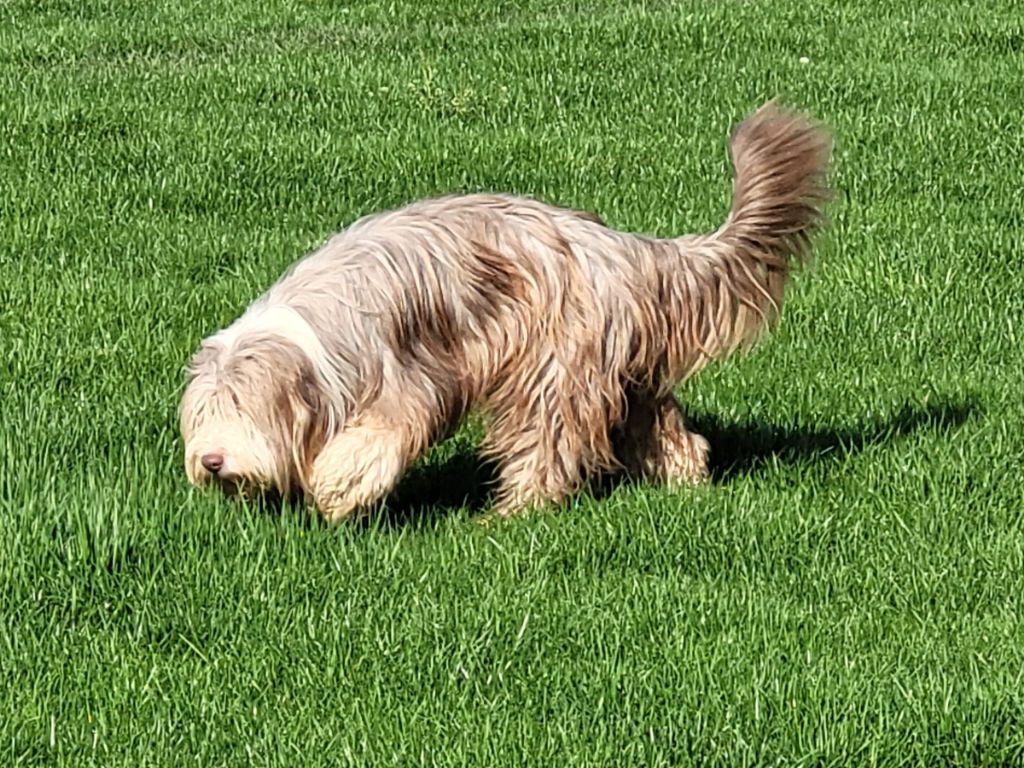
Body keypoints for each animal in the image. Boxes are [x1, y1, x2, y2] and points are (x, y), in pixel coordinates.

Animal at [178, 100, 831, 524]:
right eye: (204, 414)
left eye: (246, 408)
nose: (211, 462)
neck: (309, 342)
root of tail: (623, 247)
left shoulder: (410, 375)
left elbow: (380, 435)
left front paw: (339, 489)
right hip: (622, 369)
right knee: (663, 424)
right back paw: (685, 479)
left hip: (554, 366)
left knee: (547, 443)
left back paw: (511, 513)